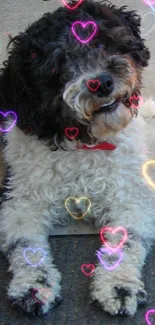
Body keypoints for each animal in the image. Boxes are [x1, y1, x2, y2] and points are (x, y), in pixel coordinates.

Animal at [0, 0, 155, 316]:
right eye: (58, 65)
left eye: (102, 43)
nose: (102, 83)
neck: (85, 145)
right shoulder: (20, 204)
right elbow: (25, 248)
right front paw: (34, 286)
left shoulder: (131, 200)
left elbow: (126, 244)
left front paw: (118, 287)